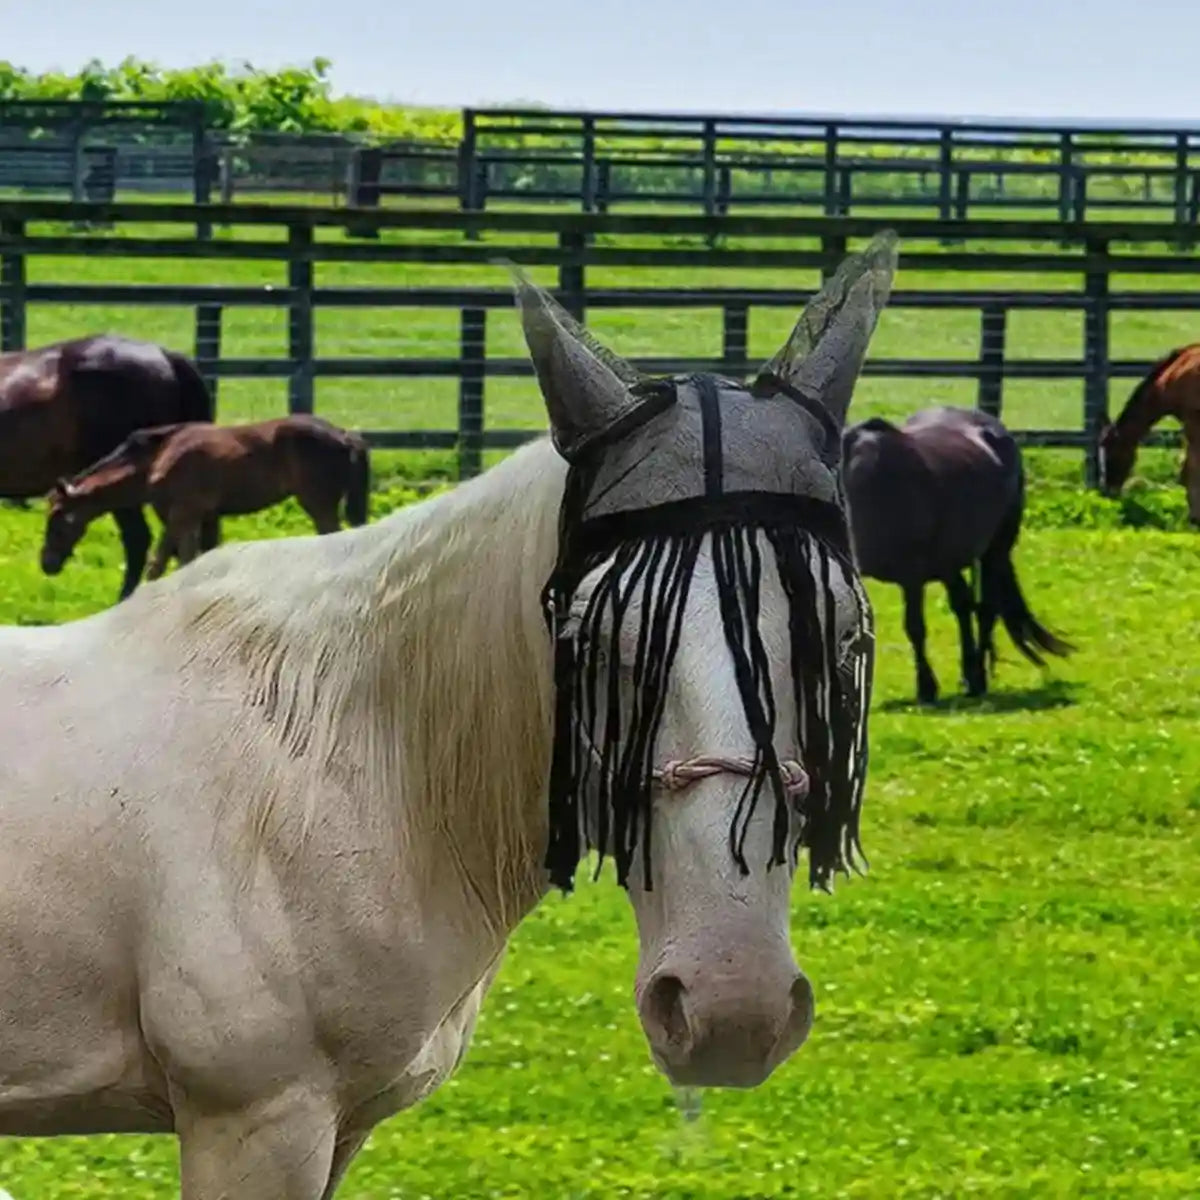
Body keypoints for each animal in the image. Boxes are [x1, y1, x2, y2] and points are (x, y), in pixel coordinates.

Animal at [41, 414, 372, 591]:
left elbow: (161, 564)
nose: (47, 564)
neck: (155, 460)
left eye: (57, 520)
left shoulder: (181, 514)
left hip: (318, 504)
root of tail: (345, 436)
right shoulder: (192, 518)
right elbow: (182, 562)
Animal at [842, 405, 1073, 705]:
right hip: (949, 562)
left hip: (994, 552)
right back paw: (968, 675)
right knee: (963, 606)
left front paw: (926, 687)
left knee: (985, 610)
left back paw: (978, 678)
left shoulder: (912, 576)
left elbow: (915, 627)